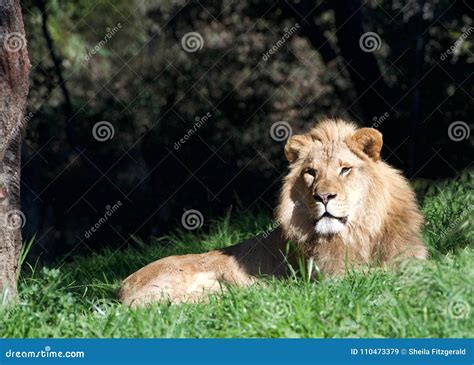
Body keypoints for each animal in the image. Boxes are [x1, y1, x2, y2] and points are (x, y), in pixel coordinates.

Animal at [119, 118, 426, 304]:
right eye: (311, 173)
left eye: (345, 169)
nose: (323, 196)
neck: (360, 232)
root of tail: (121, 289)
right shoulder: (329, 277)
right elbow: (373, 274)